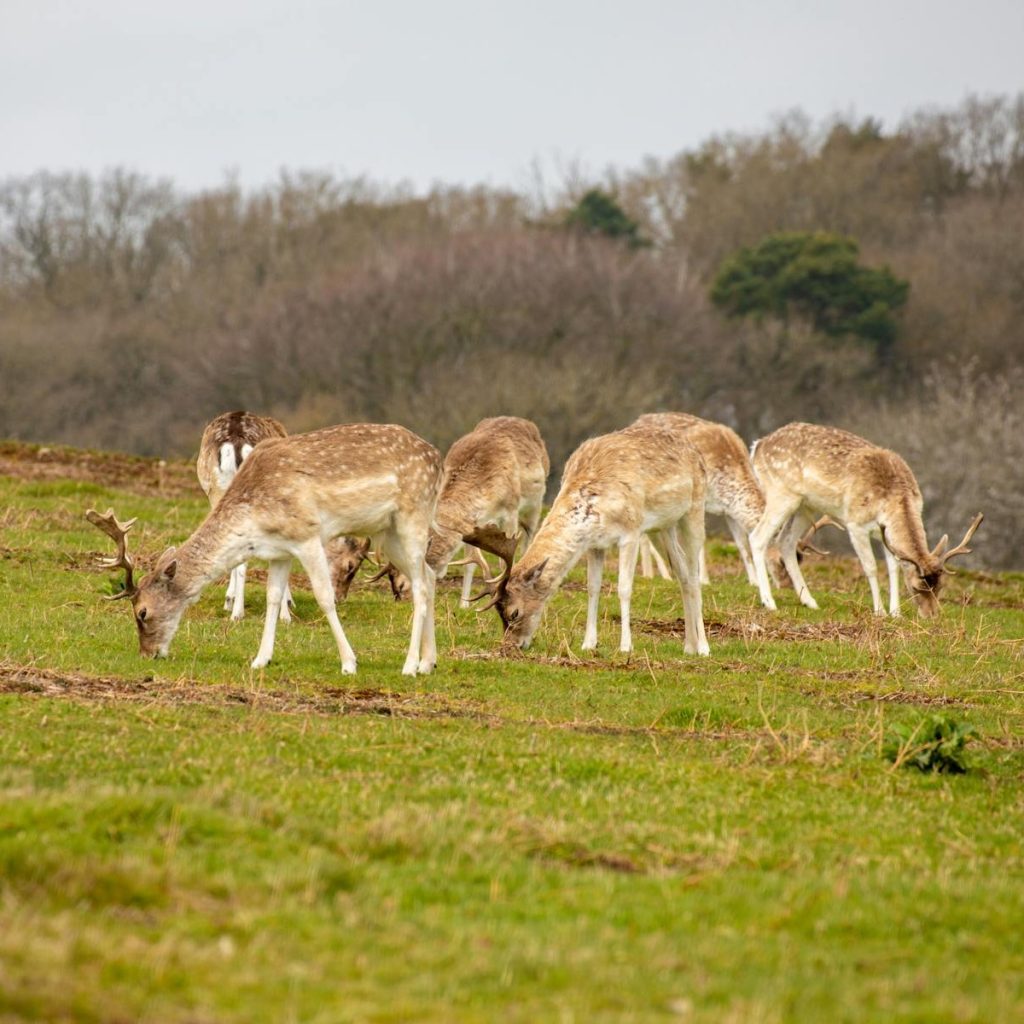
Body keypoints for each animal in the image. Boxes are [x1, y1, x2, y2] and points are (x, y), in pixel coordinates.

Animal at [195, 411, 289, 621]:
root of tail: (236, 443)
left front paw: (228, 600)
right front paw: (287, 608)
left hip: (218, 491)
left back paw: (234, 608)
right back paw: (240, 613)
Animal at [479, 420, 709, 657]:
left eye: (514, 612)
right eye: (498, 613)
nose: (511, 646)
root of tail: (696, 452)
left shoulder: (631, 532)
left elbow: (624, 588)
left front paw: (626, 646)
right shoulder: (594, 544)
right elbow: (593, 587)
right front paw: (588, 643)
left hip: (695, 508)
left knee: (694, 575)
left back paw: (703, 647)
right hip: (665, 526)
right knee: (682, 572)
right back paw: (688, 646)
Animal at [748, 422, 983, 617]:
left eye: (941, 586)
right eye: (917, 587)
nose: (932, 615)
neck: (893, 498)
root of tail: (757, 446)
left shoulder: (885, 534)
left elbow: (893, 567)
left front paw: (895, 613)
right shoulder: (856, 525)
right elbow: (870, 567)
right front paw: (879, 611)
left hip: (806, 507)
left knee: (785, 541)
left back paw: (810, 601)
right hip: (781, 495)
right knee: (758, 537)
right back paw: (768, 602)